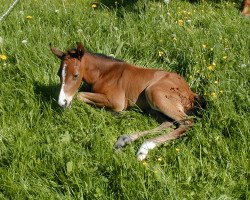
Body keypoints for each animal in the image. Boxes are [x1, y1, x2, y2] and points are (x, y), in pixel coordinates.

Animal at [50, 42, 205, 161]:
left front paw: (114, 113)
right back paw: (125, 140)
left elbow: (79, 95)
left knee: (186, 122)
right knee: (170, 123)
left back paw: (143, 148)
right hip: (152, 107)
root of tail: (190, 92)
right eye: (59, 74)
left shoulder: (117, 101)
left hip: (153, 93)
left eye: (76, 75)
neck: (104, 73)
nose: (62, 103)